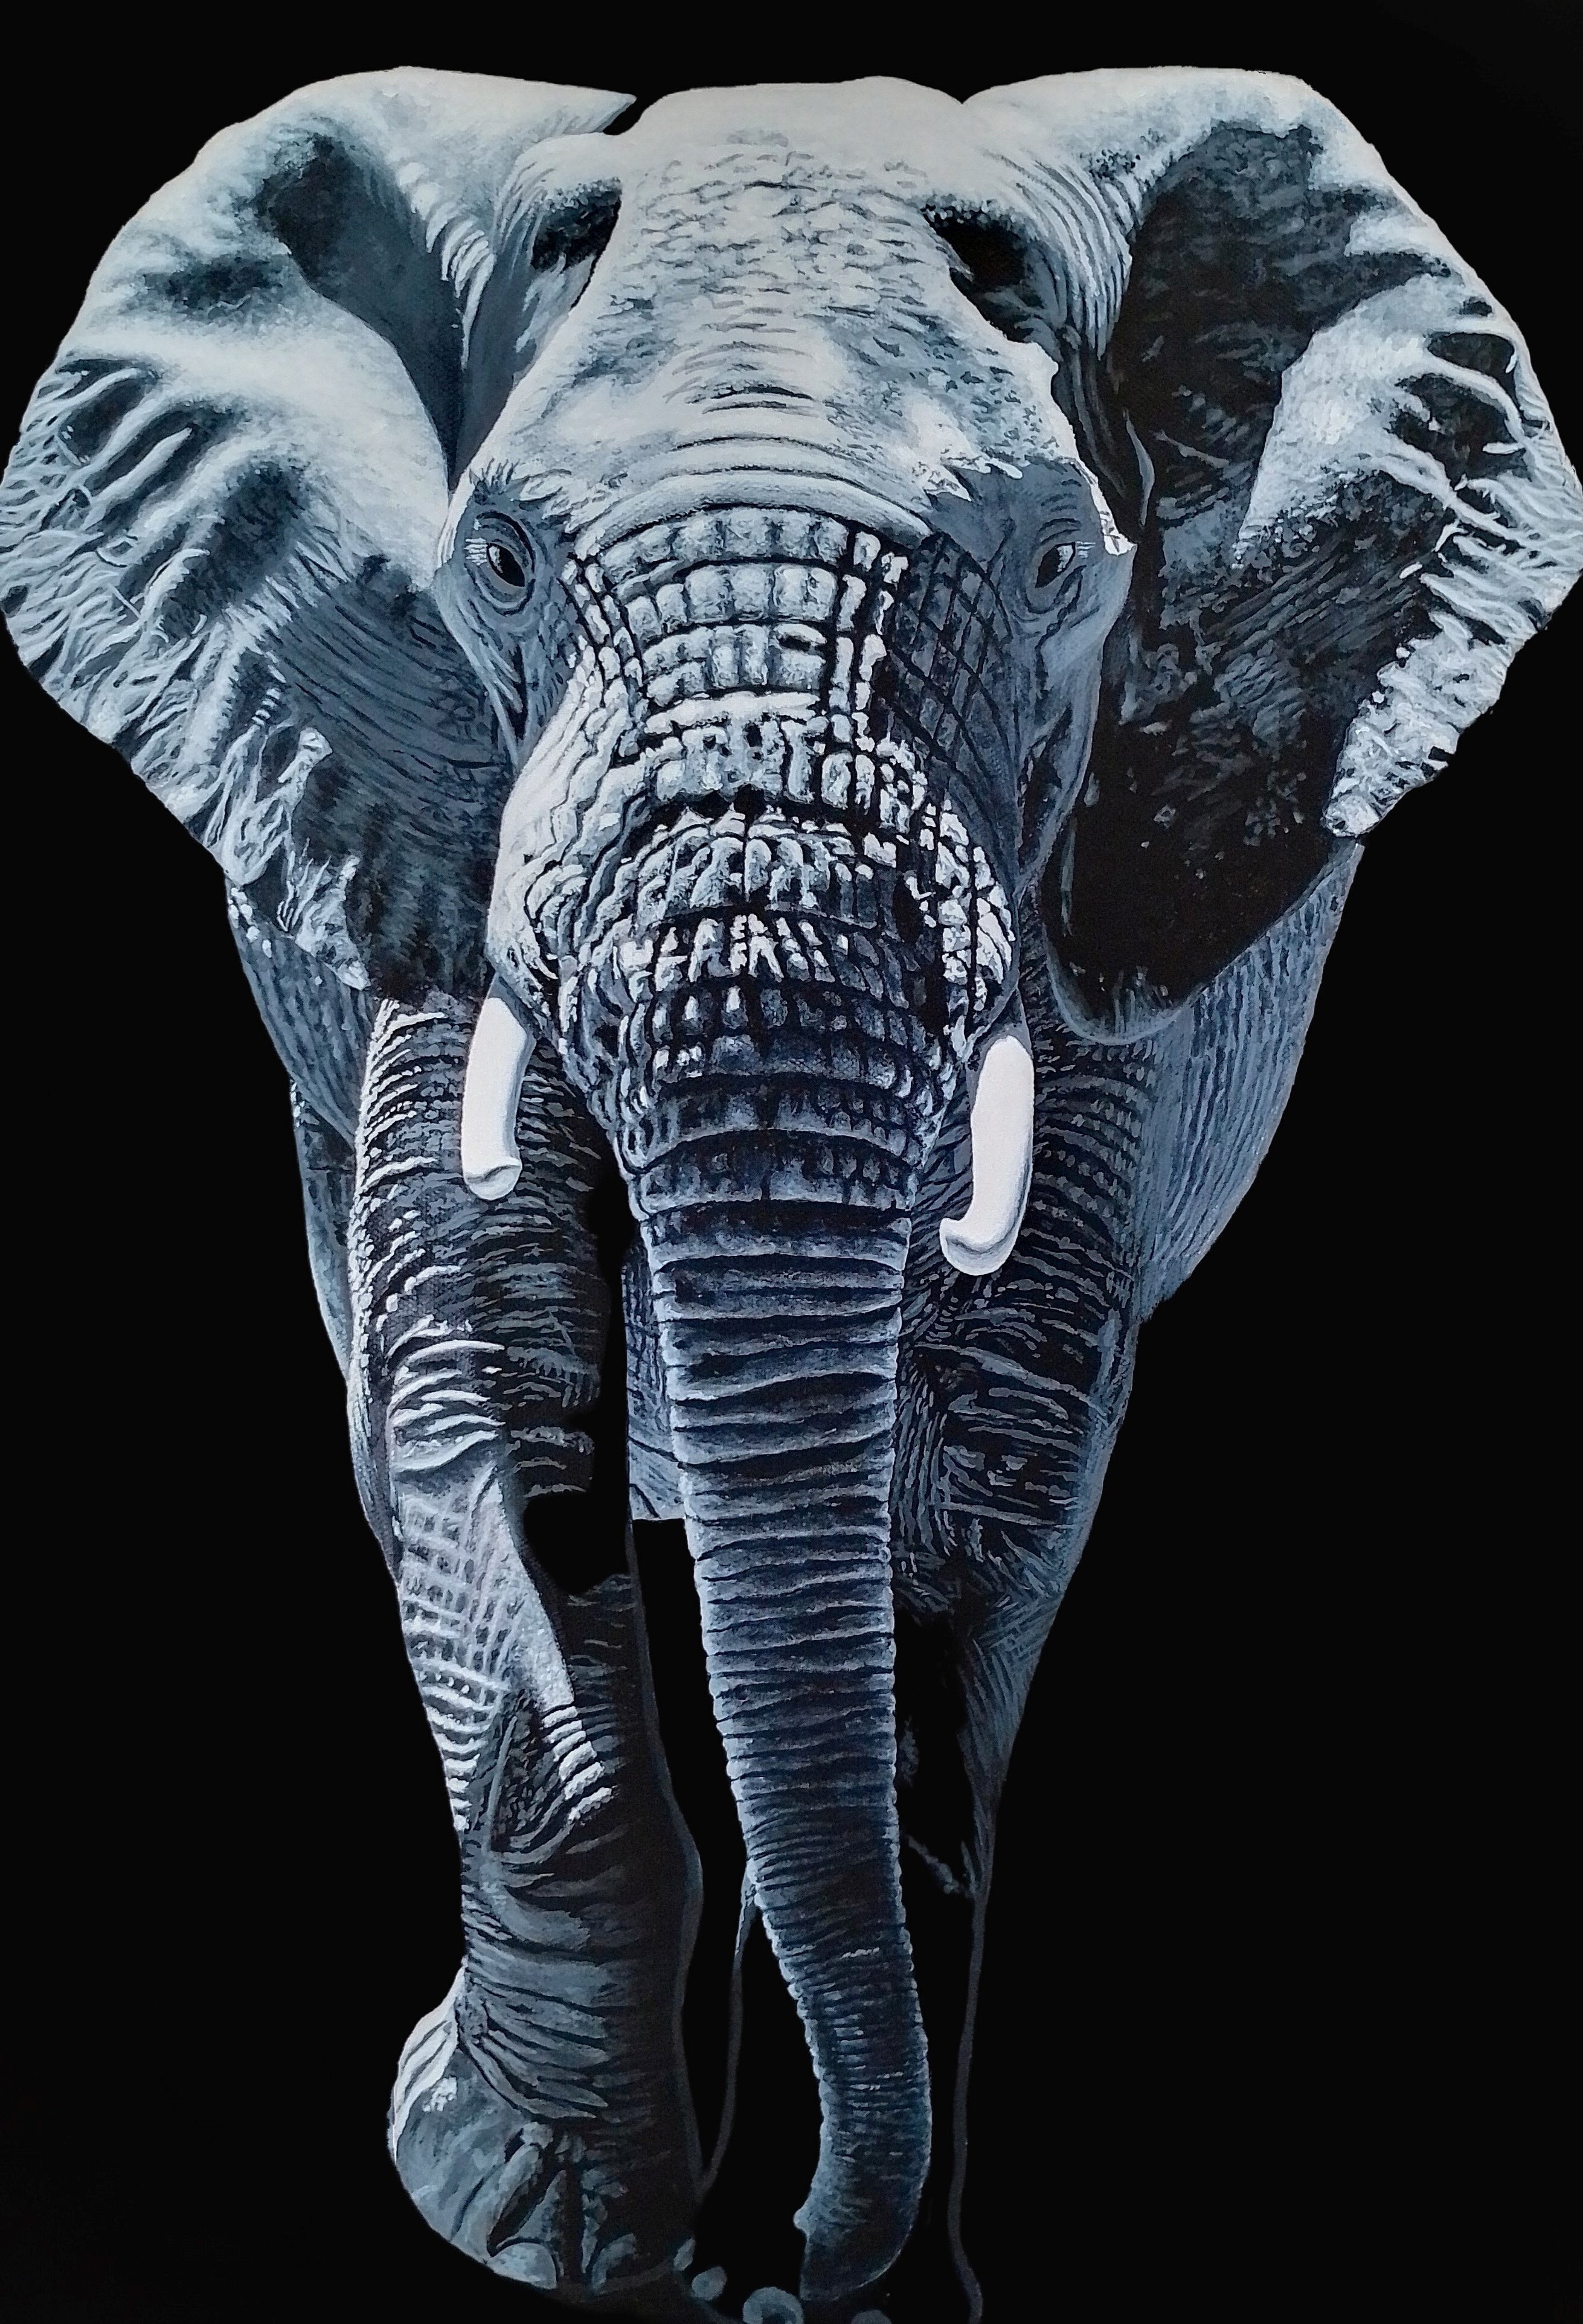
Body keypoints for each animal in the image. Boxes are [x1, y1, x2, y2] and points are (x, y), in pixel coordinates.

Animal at [2, 62, 1579, 2324]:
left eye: (1056, 570)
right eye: (496, 561)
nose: (779, 2266)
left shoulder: (1104, 879)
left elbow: (982, 1468)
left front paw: (840, 2284)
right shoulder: (431, 814)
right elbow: (487, 1398)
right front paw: (527, 2213)